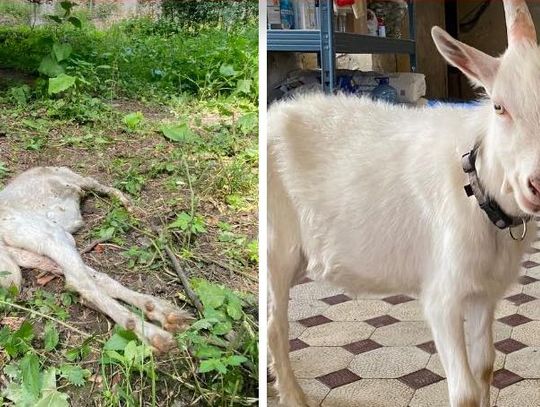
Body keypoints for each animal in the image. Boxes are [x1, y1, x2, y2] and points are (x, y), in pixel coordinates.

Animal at [268, 0, 540, 407]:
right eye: (498, 106)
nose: (537, 184)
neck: (475, 188)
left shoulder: (483, 294)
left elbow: (485, 368)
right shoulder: (442, 296)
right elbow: (464, 391)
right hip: (276, 247)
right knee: (275, 325)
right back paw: (294, 396)